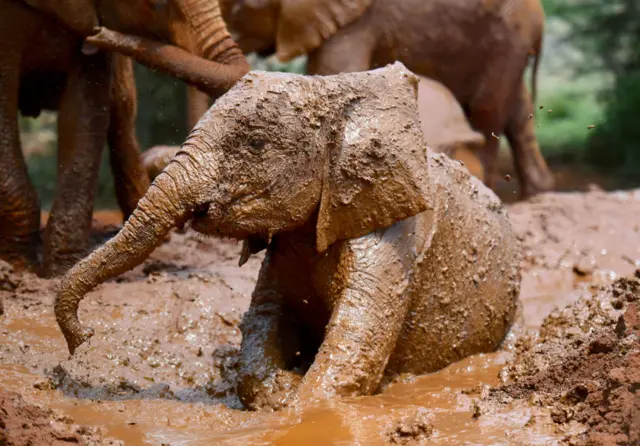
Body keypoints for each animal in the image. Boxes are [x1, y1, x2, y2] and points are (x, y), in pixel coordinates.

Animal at [55, 61, 520, 412]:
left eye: (256, 144)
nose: (83, 339)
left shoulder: (391, 233)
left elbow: (356, 344)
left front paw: (300, 407)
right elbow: (266, 314)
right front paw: (282, 390)